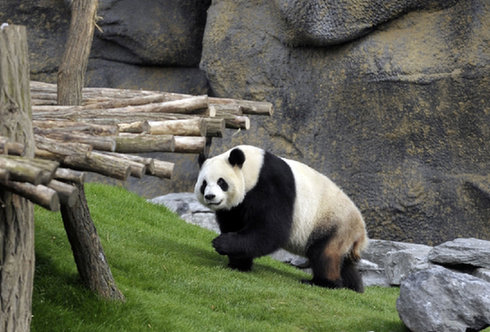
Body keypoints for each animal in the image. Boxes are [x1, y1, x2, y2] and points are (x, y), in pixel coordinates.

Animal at [195, 144, 368, 292]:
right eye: (204, 184)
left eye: (221, 182)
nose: (210, 196)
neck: (253, 168)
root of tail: (361, 232)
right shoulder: (236, 206)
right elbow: (234, 223)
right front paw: (238, 264)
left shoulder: (272, 185)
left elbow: (270, 230)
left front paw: (221, 243)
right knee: (343, 262)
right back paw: (354, 286)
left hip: (335, 223)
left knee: (324, 254)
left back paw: (323, 282)